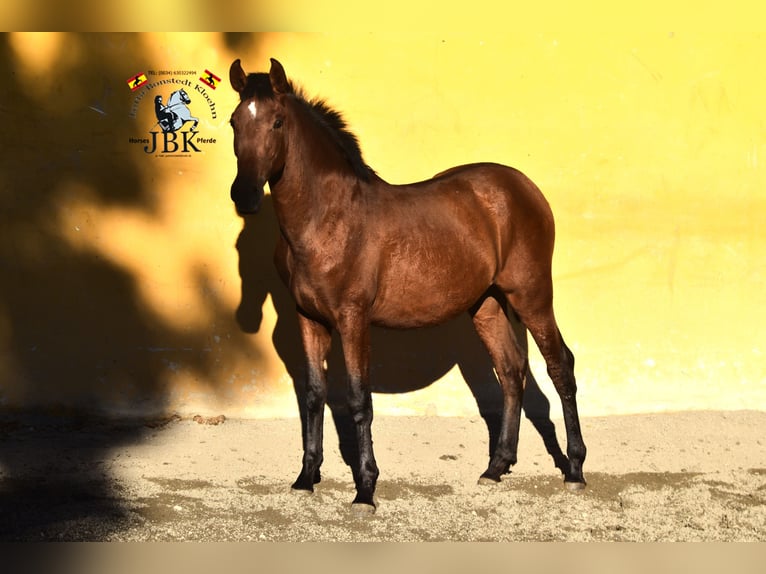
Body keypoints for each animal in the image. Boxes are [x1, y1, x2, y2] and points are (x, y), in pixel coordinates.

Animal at [228, 58, 588, 512]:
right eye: (234, 121)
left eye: (276, 121)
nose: (244, 195)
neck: (326, 219)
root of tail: (524, 188)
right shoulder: (309, 319)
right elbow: (312, 395)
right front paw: (306, 478)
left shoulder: (353, 320)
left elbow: (358, 400)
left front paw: (365, 490)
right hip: (486, 304)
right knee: (510, 370)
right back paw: (496, 467)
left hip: (532, 296)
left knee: (561, 366)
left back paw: (574, 469)